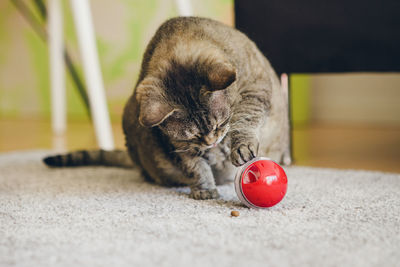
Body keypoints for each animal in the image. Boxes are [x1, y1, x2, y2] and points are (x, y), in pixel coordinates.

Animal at [43, 16, 292, 200]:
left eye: (220, 124)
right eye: (193, 136)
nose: (212, 142)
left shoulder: (255, 89)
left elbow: (244, 119)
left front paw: (240, 146)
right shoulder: (176, 145)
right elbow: (195, 167)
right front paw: (204, 188)